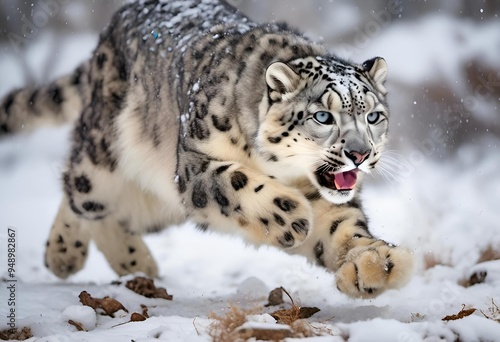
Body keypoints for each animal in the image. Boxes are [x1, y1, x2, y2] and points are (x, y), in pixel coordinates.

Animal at [0, 0, 414, 296]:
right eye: (323, 117)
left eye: (374, 116)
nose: (360, 154)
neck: (285, 173)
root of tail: (108, 31)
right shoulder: (193, 166)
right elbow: (232, 181)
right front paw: (292, 216)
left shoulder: (320, 192)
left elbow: (343, 227)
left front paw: (377, 263)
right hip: (105, 156)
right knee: (81, 189)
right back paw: (95, 257)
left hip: (159, 202)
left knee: (99, 204)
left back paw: (96, 258)